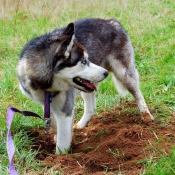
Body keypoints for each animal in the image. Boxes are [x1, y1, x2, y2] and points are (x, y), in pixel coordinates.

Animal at [16, 18, 153, 153]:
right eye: (84, 61)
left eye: (87, 59)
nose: (105, 73)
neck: (45, 87)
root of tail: (112, 21)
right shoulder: (48, 104)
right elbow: (54, 124)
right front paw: (58, 137)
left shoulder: (65, 110)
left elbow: (62, 143)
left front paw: (61, 157)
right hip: (88, 87)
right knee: (91, 108)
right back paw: (81, 125)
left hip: (124, 74)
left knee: (137, 93)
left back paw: (146, 115)